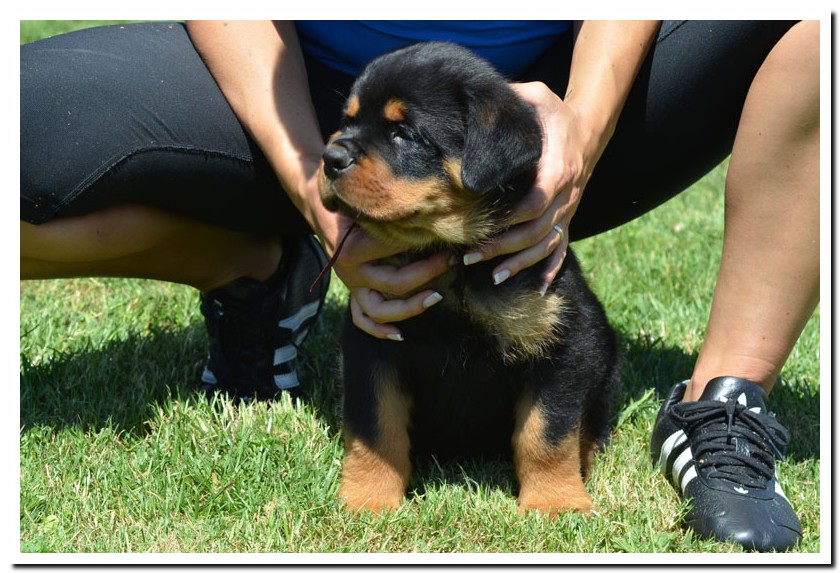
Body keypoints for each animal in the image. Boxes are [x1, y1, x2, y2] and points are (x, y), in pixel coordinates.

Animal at [318, 40, 620, 512]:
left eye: (404, 133)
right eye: (347, 122)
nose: (329, 158)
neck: (451, 256)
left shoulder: (561, 339)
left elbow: (547, 433)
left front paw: (555, 503)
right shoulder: (371, 340)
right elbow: (374, 428)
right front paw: (368, 500)